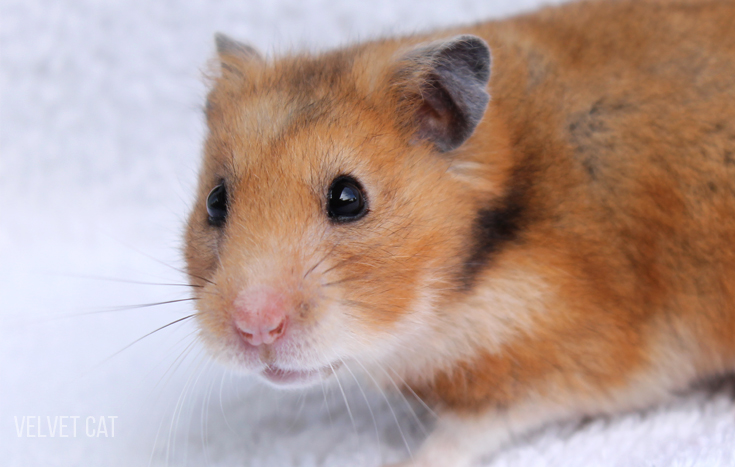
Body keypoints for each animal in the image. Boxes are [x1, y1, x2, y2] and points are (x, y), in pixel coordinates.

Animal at [184, 0, 735, 465]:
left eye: (348, 199)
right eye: (215, 201)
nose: (254, 328)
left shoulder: (566, 362)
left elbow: (464, 433)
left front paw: (402, 462)